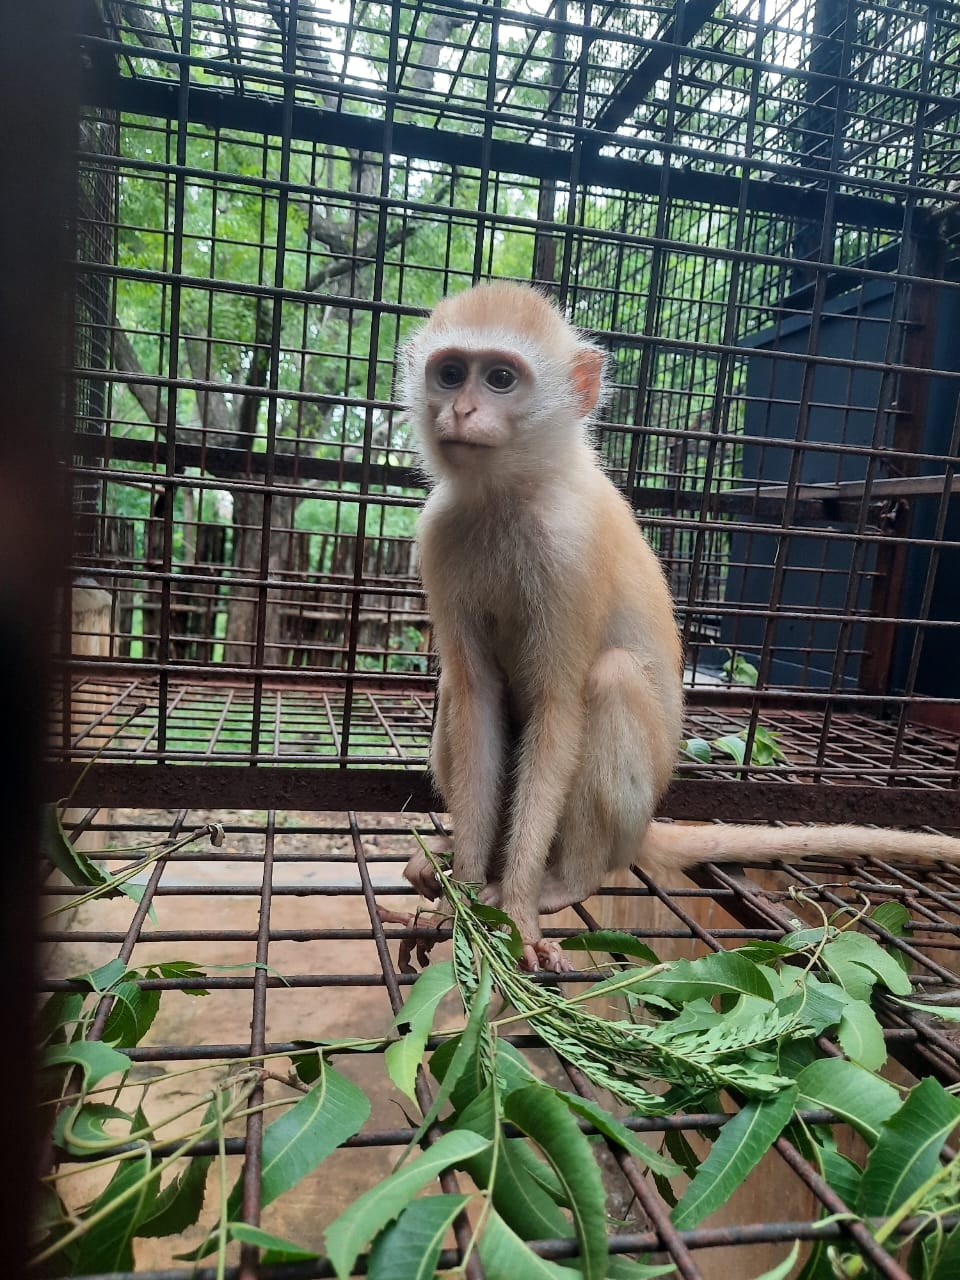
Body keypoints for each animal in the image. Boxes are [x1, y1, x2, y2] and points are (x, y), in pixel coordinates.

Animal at [398, 279, 960, 972]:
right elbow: (477, 697)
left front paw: (517, 908)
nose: (461, 411)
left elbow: (558, 709)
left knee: (610, 680)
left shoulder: (568, 547)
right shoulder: (440, 532)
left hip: (627, 816)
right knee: (459, 687)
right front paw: (467, 892)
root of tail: (642, 831)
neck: (515, 493)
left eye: (500, 378)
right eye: (450, 373)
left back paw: (571, 879)